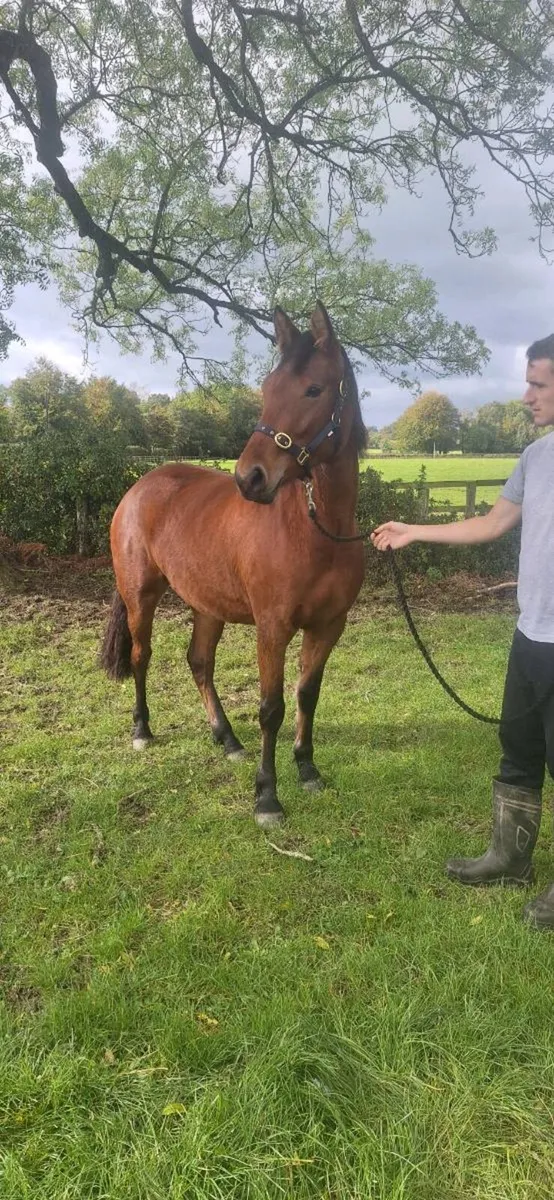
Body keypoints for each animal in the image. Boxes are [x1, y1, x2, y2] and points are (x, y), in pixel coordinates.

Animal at [101, 302, 367, 826]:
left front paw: (307, 770)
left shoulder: (329, 625)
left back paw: (226, 739)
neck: (316, 530)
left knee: (199, 662)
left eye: (314, 389)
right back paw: (142, 731)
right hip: (141, 595)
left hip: (208, 605)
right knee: (142, 656)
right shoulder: (273, 627)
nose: (250, 478)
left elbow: (307, 694)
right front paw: (267, 797)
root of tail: (139, 487)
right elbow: (271, 707)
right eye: (267, 388)